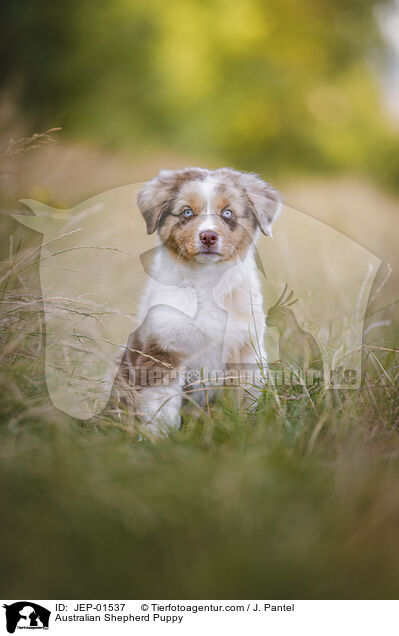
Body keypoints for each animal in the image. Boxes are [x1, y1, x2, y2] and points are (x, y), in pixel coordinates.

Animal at [117, 168, 282, 438]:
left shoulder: (245, 350)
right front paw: (159, 440)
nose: (208, 236)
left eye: (228, 213)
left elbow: (244, 400)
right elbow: (161, 406)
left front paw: (244, 432)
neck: (206, 283)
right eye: (187, 212)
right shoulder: (163, 350)